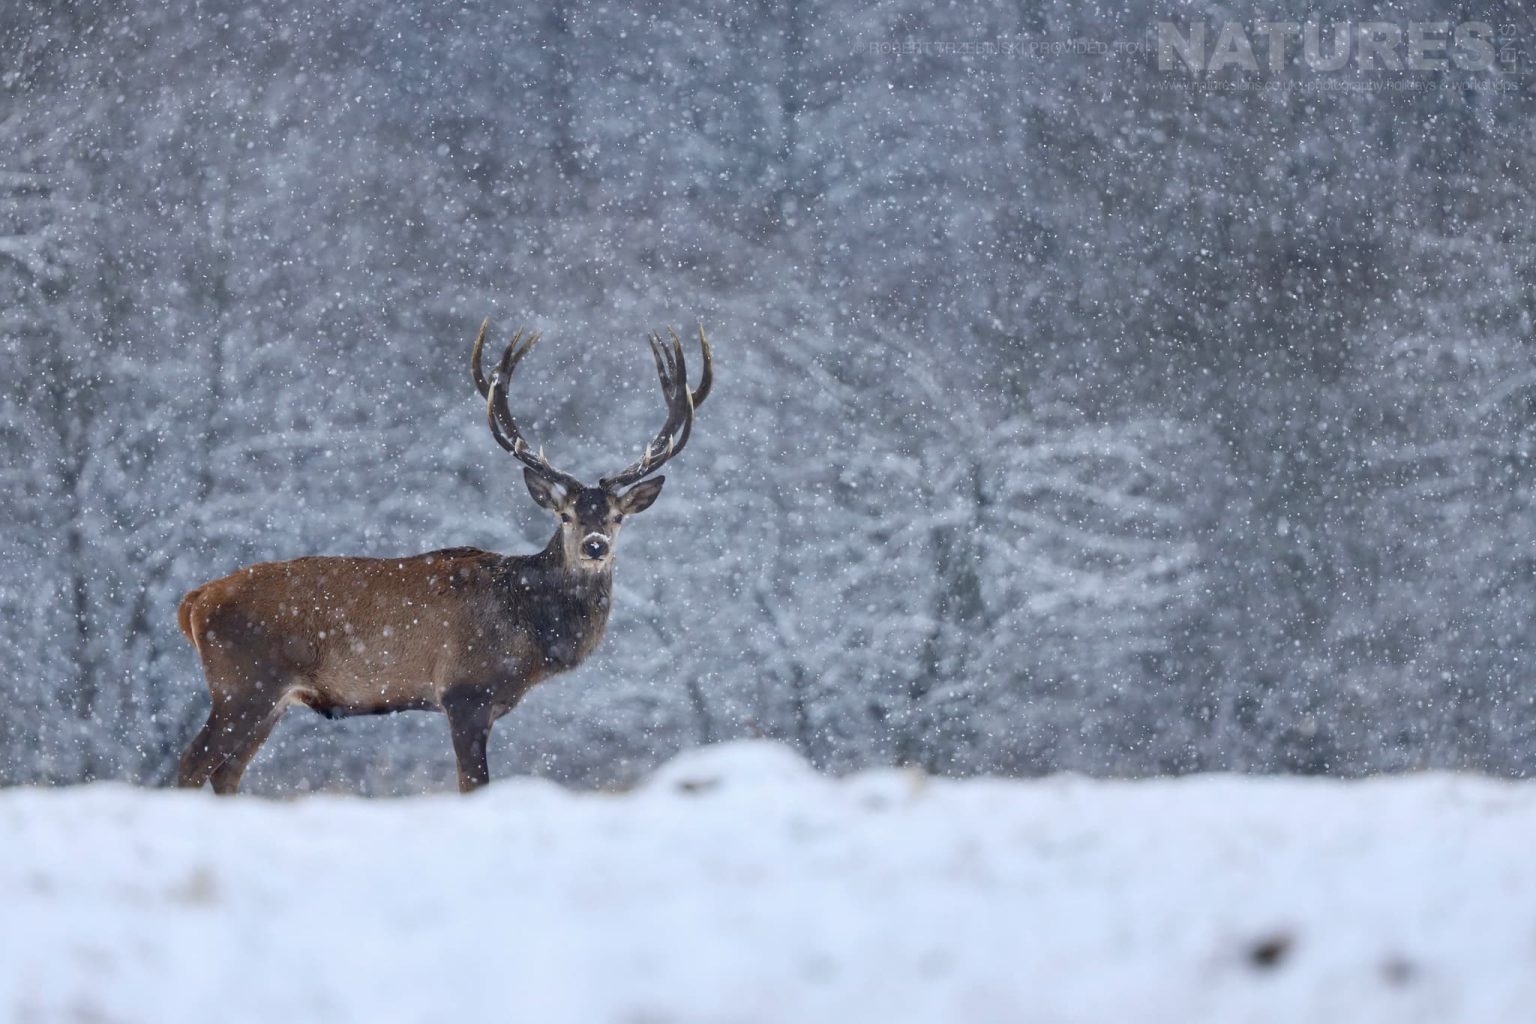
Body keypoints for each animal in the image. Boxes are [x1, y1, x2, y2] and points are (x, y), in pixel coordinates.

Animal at [175, 320, 711, 794]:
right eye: (565, 515)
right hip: (243, 684)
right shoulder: (464, 693)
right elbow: (473, 785)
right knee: (192, 762)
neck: (529, 625)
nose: (594, 545)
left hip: (270, 699)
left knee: (227, 772)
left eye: (617, 517)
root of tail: (194, 601)